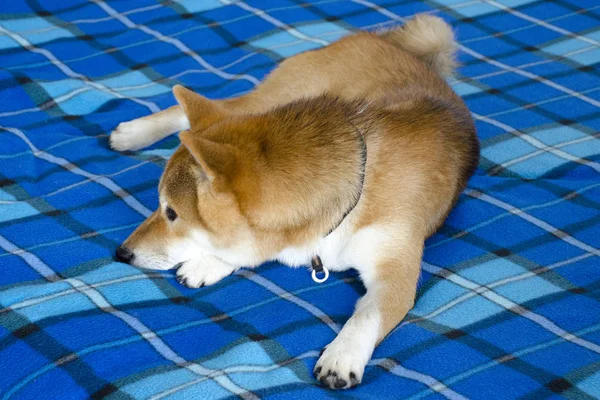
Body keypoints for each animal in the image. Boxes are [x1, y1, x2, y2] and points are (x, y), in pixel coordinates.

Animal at [111, 14, 478, 390]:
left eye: (171, 212)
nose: (122, 253)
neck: (353, 193)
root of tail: (383, 41)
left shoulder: (395, 269)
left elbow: (366, 316)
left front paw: (342, 356)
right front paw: (212, 261)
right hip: (276, 98)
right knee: (208, 106)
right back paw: (133, 133)